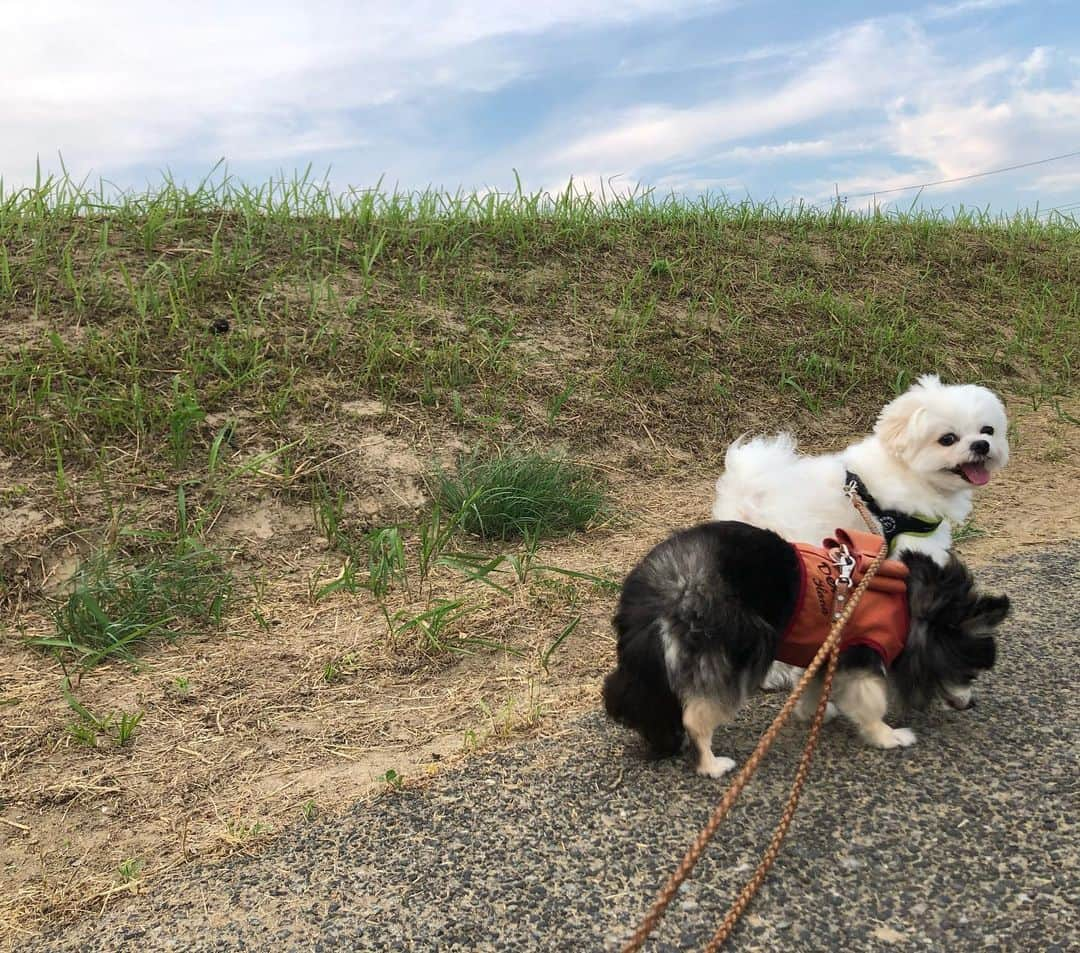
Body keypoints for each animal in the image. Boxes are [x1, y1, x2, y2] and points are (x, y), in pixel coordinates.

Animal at [604, 520, 1006, 773]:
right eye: (968, 672)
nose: (972, 704)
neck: (908, 607)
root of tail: (658, 587)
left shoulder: (825, 653)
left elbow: (813, 688)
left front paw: (815, 713)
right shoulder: (858, 657)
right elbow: (872, 705)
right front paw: (888, 736)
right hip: (737, 650)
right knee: (696, 717)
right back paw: (712, 765)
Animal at [712, 373, 1006, 691]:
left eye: (987, 430)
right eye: (947, 439)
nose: (982, 445)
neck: (907, 471)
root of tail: (750, 499)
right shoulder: (911, 549)